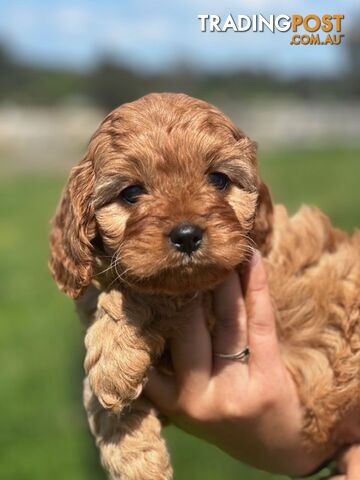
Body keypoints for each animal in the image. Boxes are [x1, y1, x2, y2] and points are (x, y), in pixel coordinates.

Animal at [49, 94, 358, 480]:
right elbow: (98, 404)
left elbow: (145, 295)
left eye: (218, 180)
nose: (186, 235)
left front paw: (112, 362)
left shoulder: (230, 279)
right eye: (131, 193)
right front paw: (138, 461)